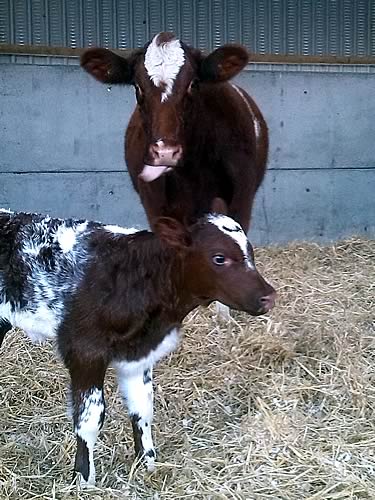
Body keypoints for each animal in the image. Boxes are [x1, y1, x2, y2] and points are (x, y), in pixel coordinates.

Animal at [0, 206, 276, 484]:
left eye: (250, 253)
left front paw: (147, 465)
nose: (269, 297)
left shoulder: (138, 357)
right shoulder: (84, 351)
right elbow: (90, 418)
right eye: (219, 258)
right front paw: (84, 480)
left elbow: (142, 409)